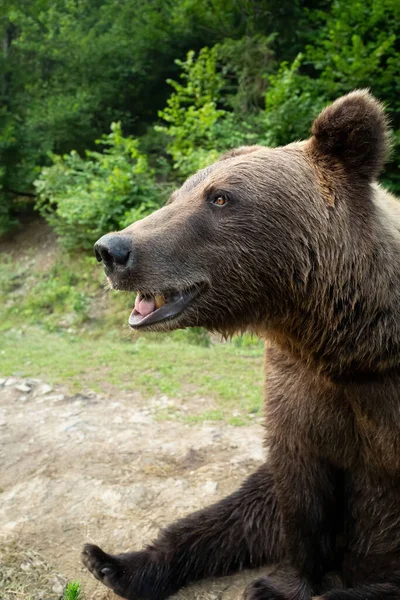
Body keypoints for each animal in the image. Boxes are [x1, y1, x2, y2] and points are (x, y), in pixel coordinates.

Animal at [81, 90, 400, 600]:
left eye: (220, 197)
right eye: (177, 195)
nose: (112, 249)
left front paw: (275, 588)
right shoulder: (299, 388)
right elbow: (298, 493)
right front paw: (282, 583)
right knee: (233, 516)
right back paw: (113, 563)